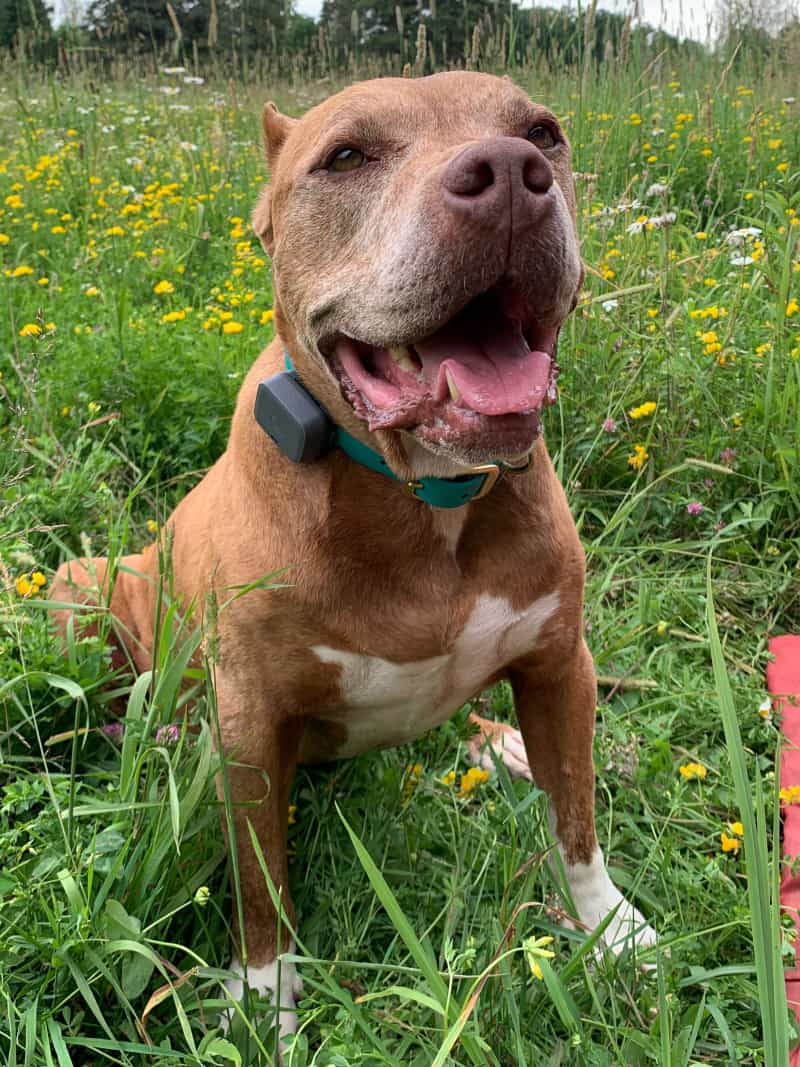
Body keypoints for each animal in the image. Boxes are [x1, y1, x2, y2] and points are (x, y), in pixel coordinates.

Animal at [54, 73, 657, 1041]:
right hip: (78, 594)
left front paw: (607, 926)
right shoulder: (250, 724)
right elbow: (261, 880)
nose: (509, 173)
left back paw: (498, 741)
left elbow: (576, 813)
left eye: (542, 133)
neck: (427, 502)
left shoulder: (562, 662)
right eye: (345, 157)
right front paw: (262, 997)